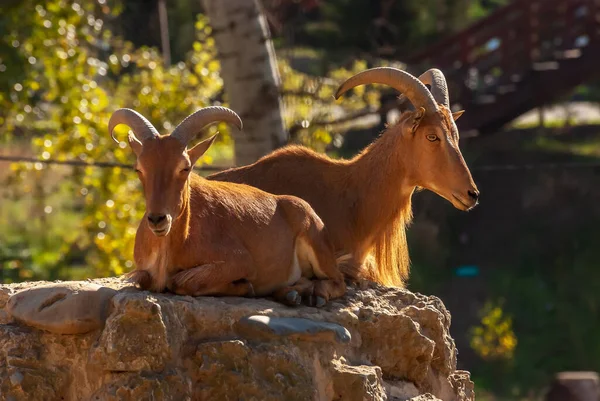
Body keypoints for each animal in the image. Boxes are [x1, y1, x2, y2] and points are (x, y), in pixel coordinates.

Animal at [109, 106, 346, 306]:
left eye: (185, 167)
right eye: (139, 168)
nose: (158, 219)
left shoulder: (240, 261)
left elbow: (181, 281)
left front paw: (244, 286)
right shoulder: (143, 270)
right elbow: (146, 279)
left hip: (316, 244)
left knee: (338, 281)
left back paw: (313, 295)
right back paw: (291, 293)